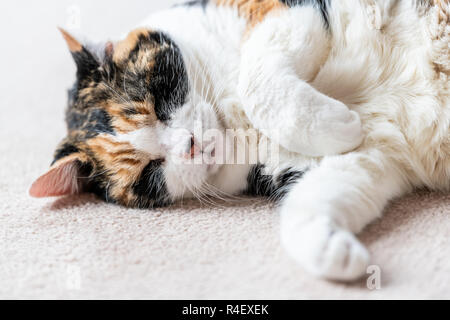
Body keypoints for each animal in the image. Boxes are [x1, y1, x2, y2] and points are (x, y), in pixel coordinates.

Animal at [29, 0, 448, 280]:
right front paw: (335, 252)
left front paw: (343, 123)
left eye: (154, 101)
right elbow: (316, 197)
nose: (190, 145)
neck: (237, 126)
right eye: (149, 172)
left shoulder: (286, 13)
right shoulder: (363, 156)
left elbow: (255, 82)